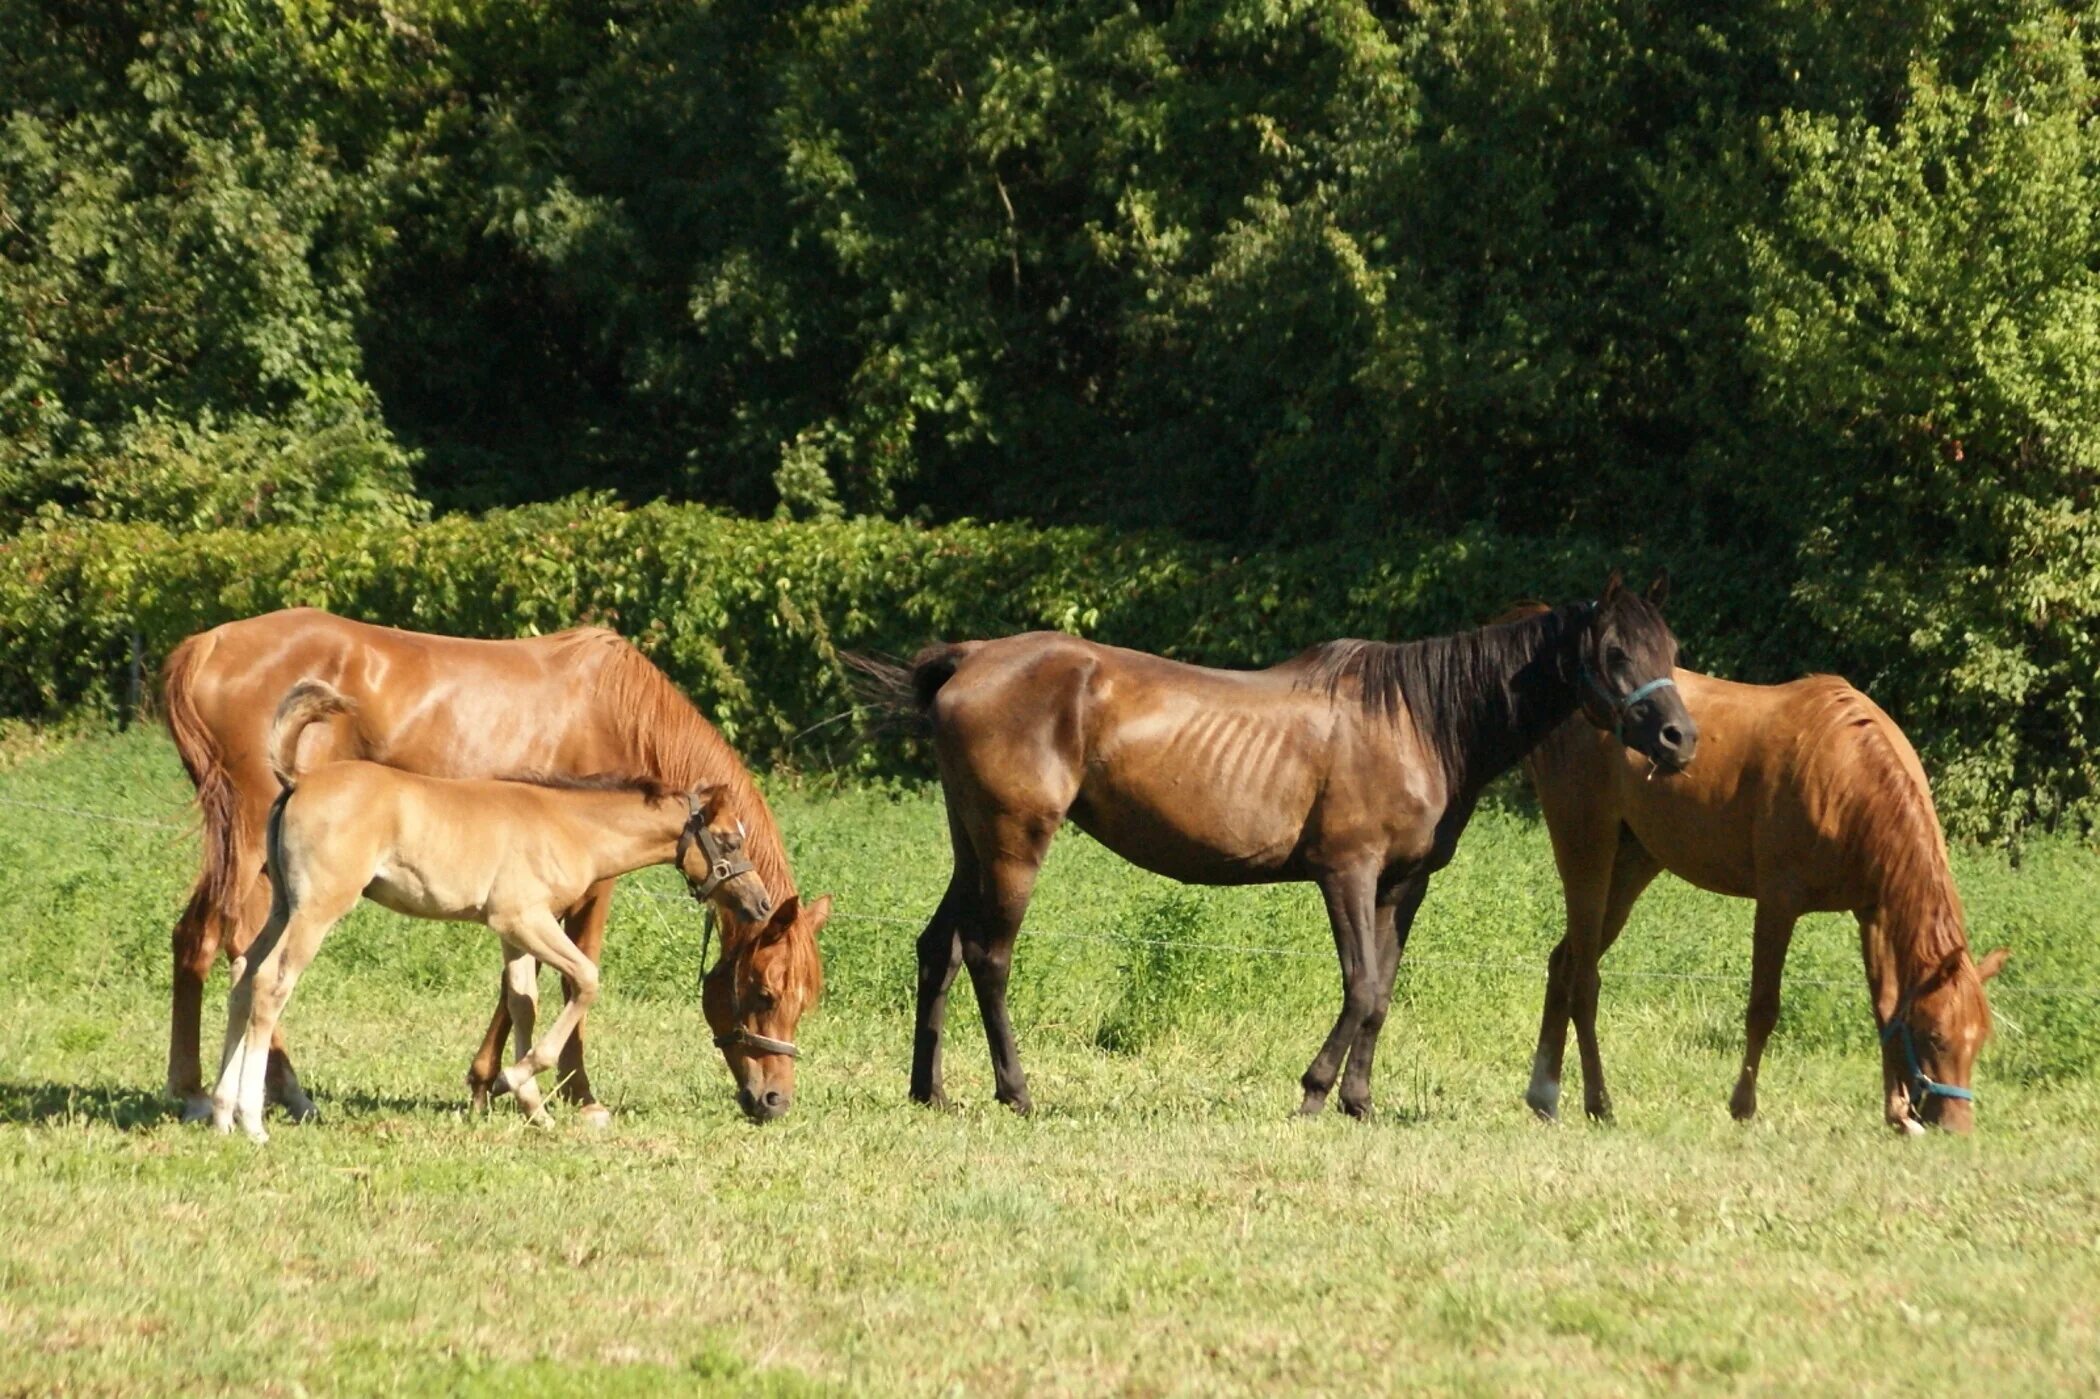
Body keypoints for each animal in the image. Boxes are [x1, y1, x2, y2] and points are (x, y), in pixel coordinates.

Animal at [159, 609, 827, 1125]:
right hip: (254, 852)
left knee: (203, 943)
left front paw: (498, 1085)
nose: (774, 1100)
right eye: (763, 992)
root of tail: (206, 645)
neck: (619, 712)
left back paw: (218, 1094)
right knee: (243, 957)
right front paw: (569, 1094)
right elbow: (570, 980)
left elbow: (521, 991)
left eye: (805, 1001)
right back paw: (245, 1097)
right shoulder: (576, 892)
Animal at [856, 571, 1705, 1109]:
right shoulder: (1347, 872)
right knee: (989, 957)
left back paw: (930, 1092)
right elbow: (1359, 985)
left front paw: (1358, 1101)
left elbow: (1382, 992)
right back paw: (1016, 1091)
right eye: (1615, 653)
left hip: (972, 842)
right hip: (1014, 843)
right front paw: (1314, 1090)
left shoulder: (1403, 883)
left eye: (1671, 652)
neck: (1418, 719)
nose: (1680, 738)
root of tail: (971, 658)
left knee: (939, 948)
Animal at [1520, 655, 2007, 1134]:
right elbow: (1763, 1008)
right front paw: (1743, 1107)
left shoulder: (1873, 913)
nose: (1958, 1128)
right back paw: (1599, 1105)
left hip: (1631, 866)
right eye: (1935, 1036)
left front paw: (1897, 1114)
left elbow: (1886, 1009)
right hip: (1587, 853)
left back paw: (1544, 1097)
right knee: (1584, 979)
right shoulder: (1778, 904)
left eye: (1980, 1038)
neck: (1847, 777)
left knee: (1563, 963)